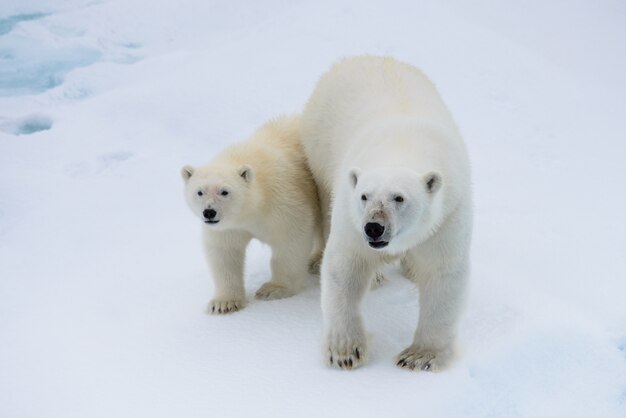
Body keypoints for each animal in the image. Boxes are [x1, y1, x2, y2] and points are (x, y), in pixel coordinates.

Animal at [178, 114, 320, 314]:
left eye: (224, 191)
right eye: (199, 192)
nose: (209, 212)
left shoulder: (284, 200)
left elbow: (290, 241)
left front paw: (273, 289)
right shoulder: (229, 226)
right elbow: (225, 253)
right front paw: (224, 303)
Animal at [300, 56, 470, 372]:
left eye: (399, 198)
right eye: (364, 196)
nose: (373, 228)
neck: (403, 146)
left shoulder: (448, 214)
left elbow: (443, 272)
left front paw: (420, 357)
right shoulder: (349, 213)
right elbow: (345, 266)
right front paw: (345, 352)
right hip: (319, 146)